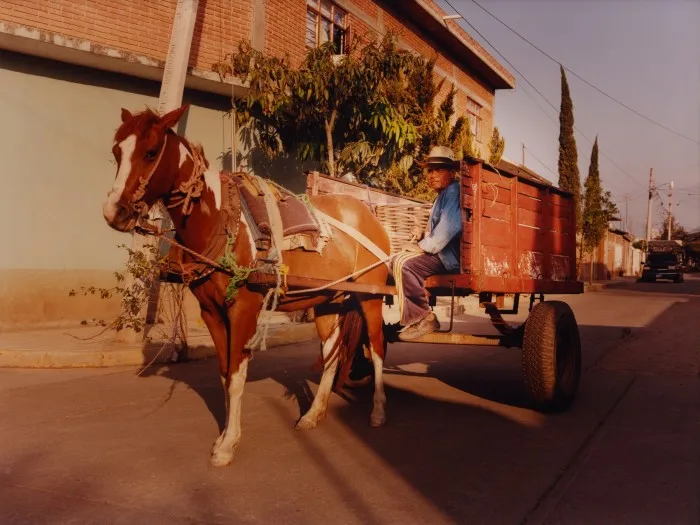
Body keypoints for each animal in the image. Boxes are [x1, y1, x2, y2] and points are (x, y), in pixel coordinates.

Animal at [102, 104, 392, 464]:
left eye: (151, 152)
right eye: (116, 151)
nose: (114, 211)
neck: (219, 219)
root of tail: (369, 216)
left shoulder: (242, 309)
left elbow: (237, 377)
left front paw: (228, 444)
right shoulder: (211, 312)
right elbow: (225, 373)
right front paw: (225, 435)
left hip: (371, 297)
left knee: (377, 347)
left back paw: (378, 411)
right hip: (328, 300)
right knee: (331, 353)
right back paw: (313, 414)